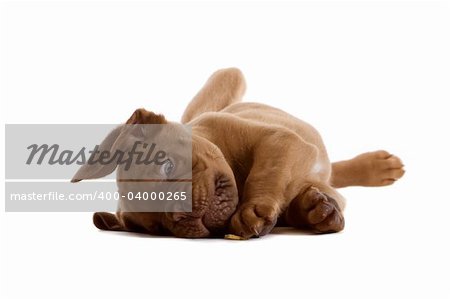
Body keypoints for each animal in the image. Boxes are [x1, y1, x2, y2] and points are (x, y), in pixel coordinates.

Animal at [73, 68, 404, 239]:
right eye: (158, 228)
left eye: (167, 167)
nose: (180, 214)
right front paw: (314, 211)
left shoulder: (280, 141)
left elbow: (267, 170)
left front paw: (252, 210)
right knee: (335, 175)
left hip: (228, 80)